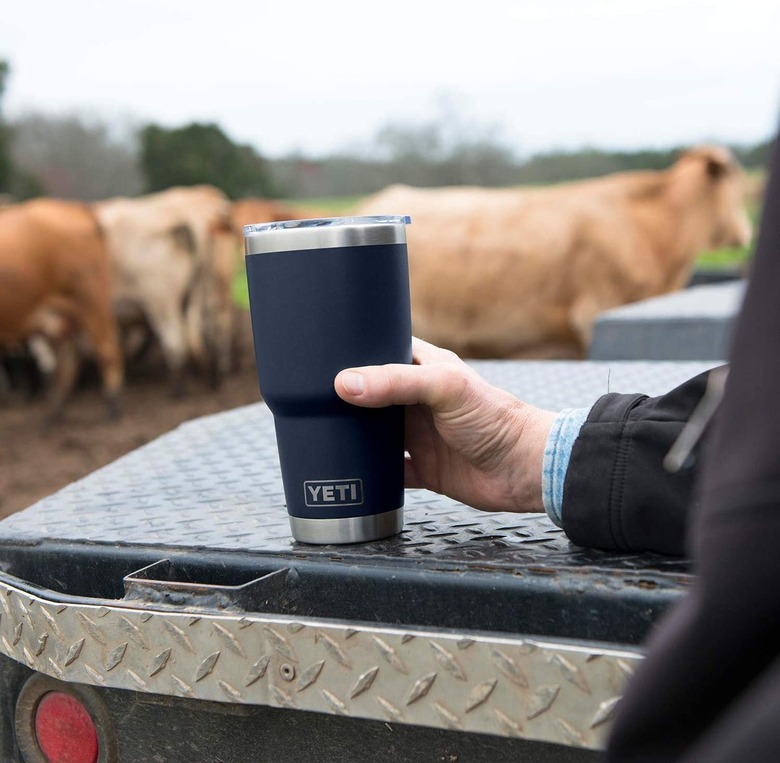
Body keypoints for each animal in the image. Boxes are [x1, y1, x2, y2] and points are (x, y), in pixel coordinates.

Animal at [0, 197, 123, 412]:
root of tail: (80, 210)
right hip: (68, 310)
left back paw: (112, 403)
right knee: (69, 358)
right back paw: (56, 407)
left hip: (90, 297)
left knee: (106, 348)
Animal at [95, 185, 235, 394]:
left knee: (175, 340)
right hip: (197, 293)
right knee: (205, 330)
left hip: (162, 302)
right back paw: (212, 375)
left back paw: (178, 388)